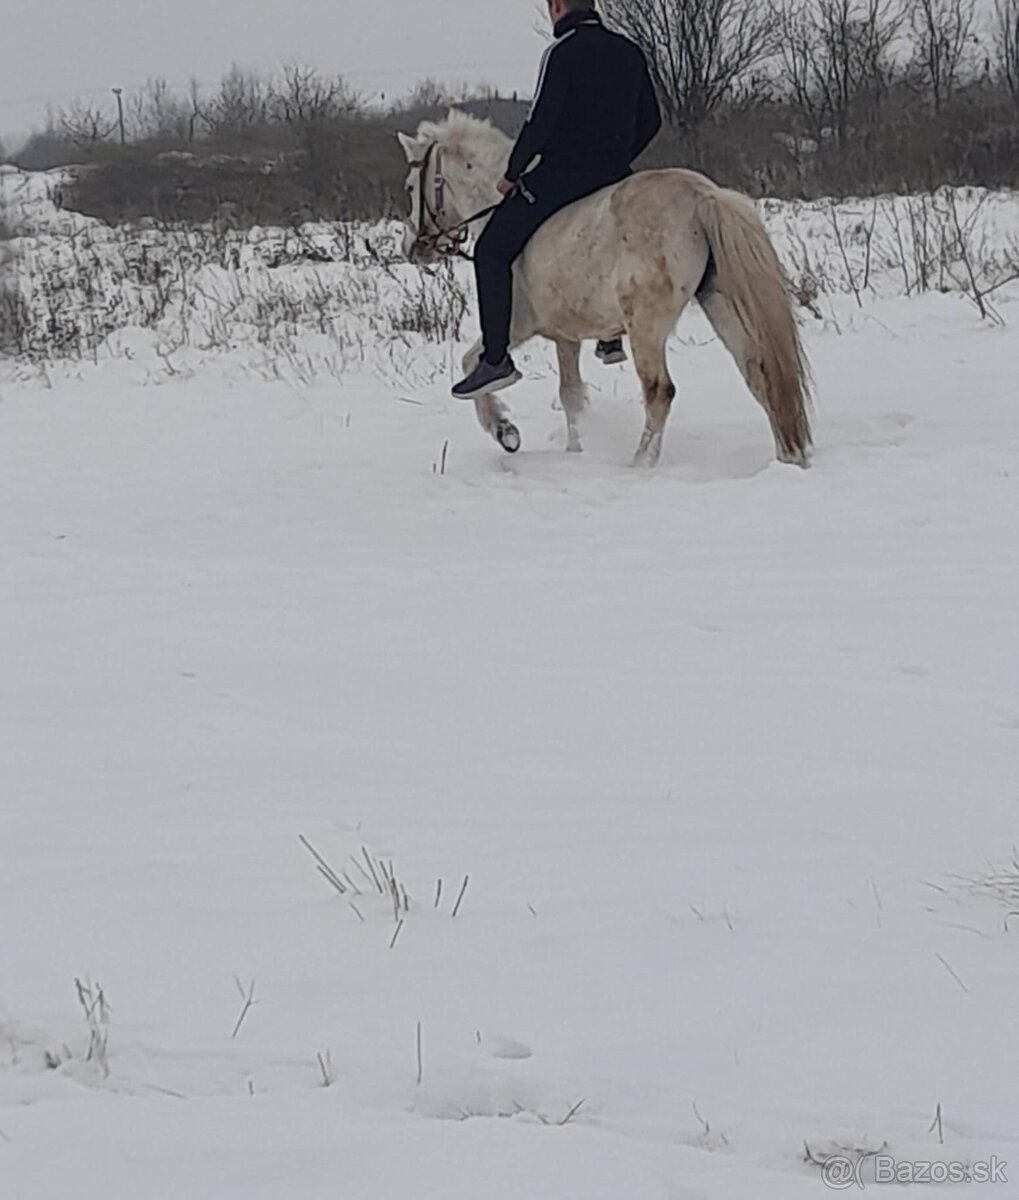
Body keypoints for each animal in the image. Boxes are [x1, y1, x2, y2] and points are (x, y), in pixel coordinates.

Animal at [397, 111, 812, 468]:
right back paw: (787, 456)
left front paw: (506, 432)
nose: (413, 248)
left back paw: (641, 463)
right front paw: (574, 452)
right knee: (759, 372)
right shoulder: (566, 336)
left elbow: (475, 365)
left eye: (410, 187)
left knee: (659, 391)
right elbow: (571, 396)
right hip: (721, 305)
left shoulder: (515, 326)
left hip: (646, 325)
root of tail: (701, 195)